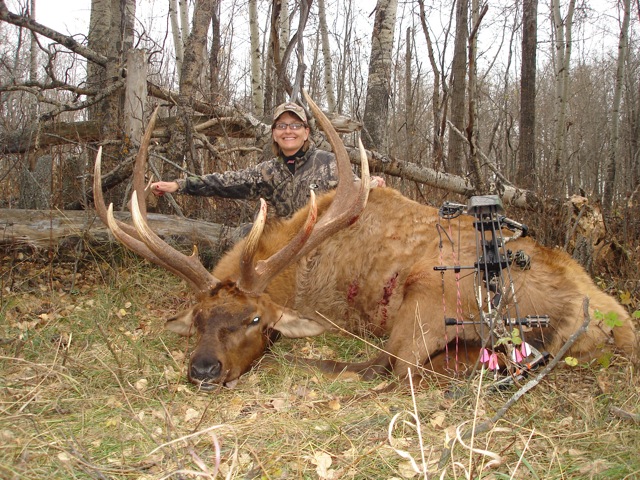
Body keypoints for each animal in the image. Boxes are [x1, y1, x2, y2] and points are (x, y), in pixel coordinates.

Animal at [93, 92, 638, 390]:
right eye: (199, 319)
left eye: (255, 320)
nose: (203, 369)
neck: (298, 274)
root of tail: (609, 324)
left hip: (429, 296)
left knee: (399, 367)